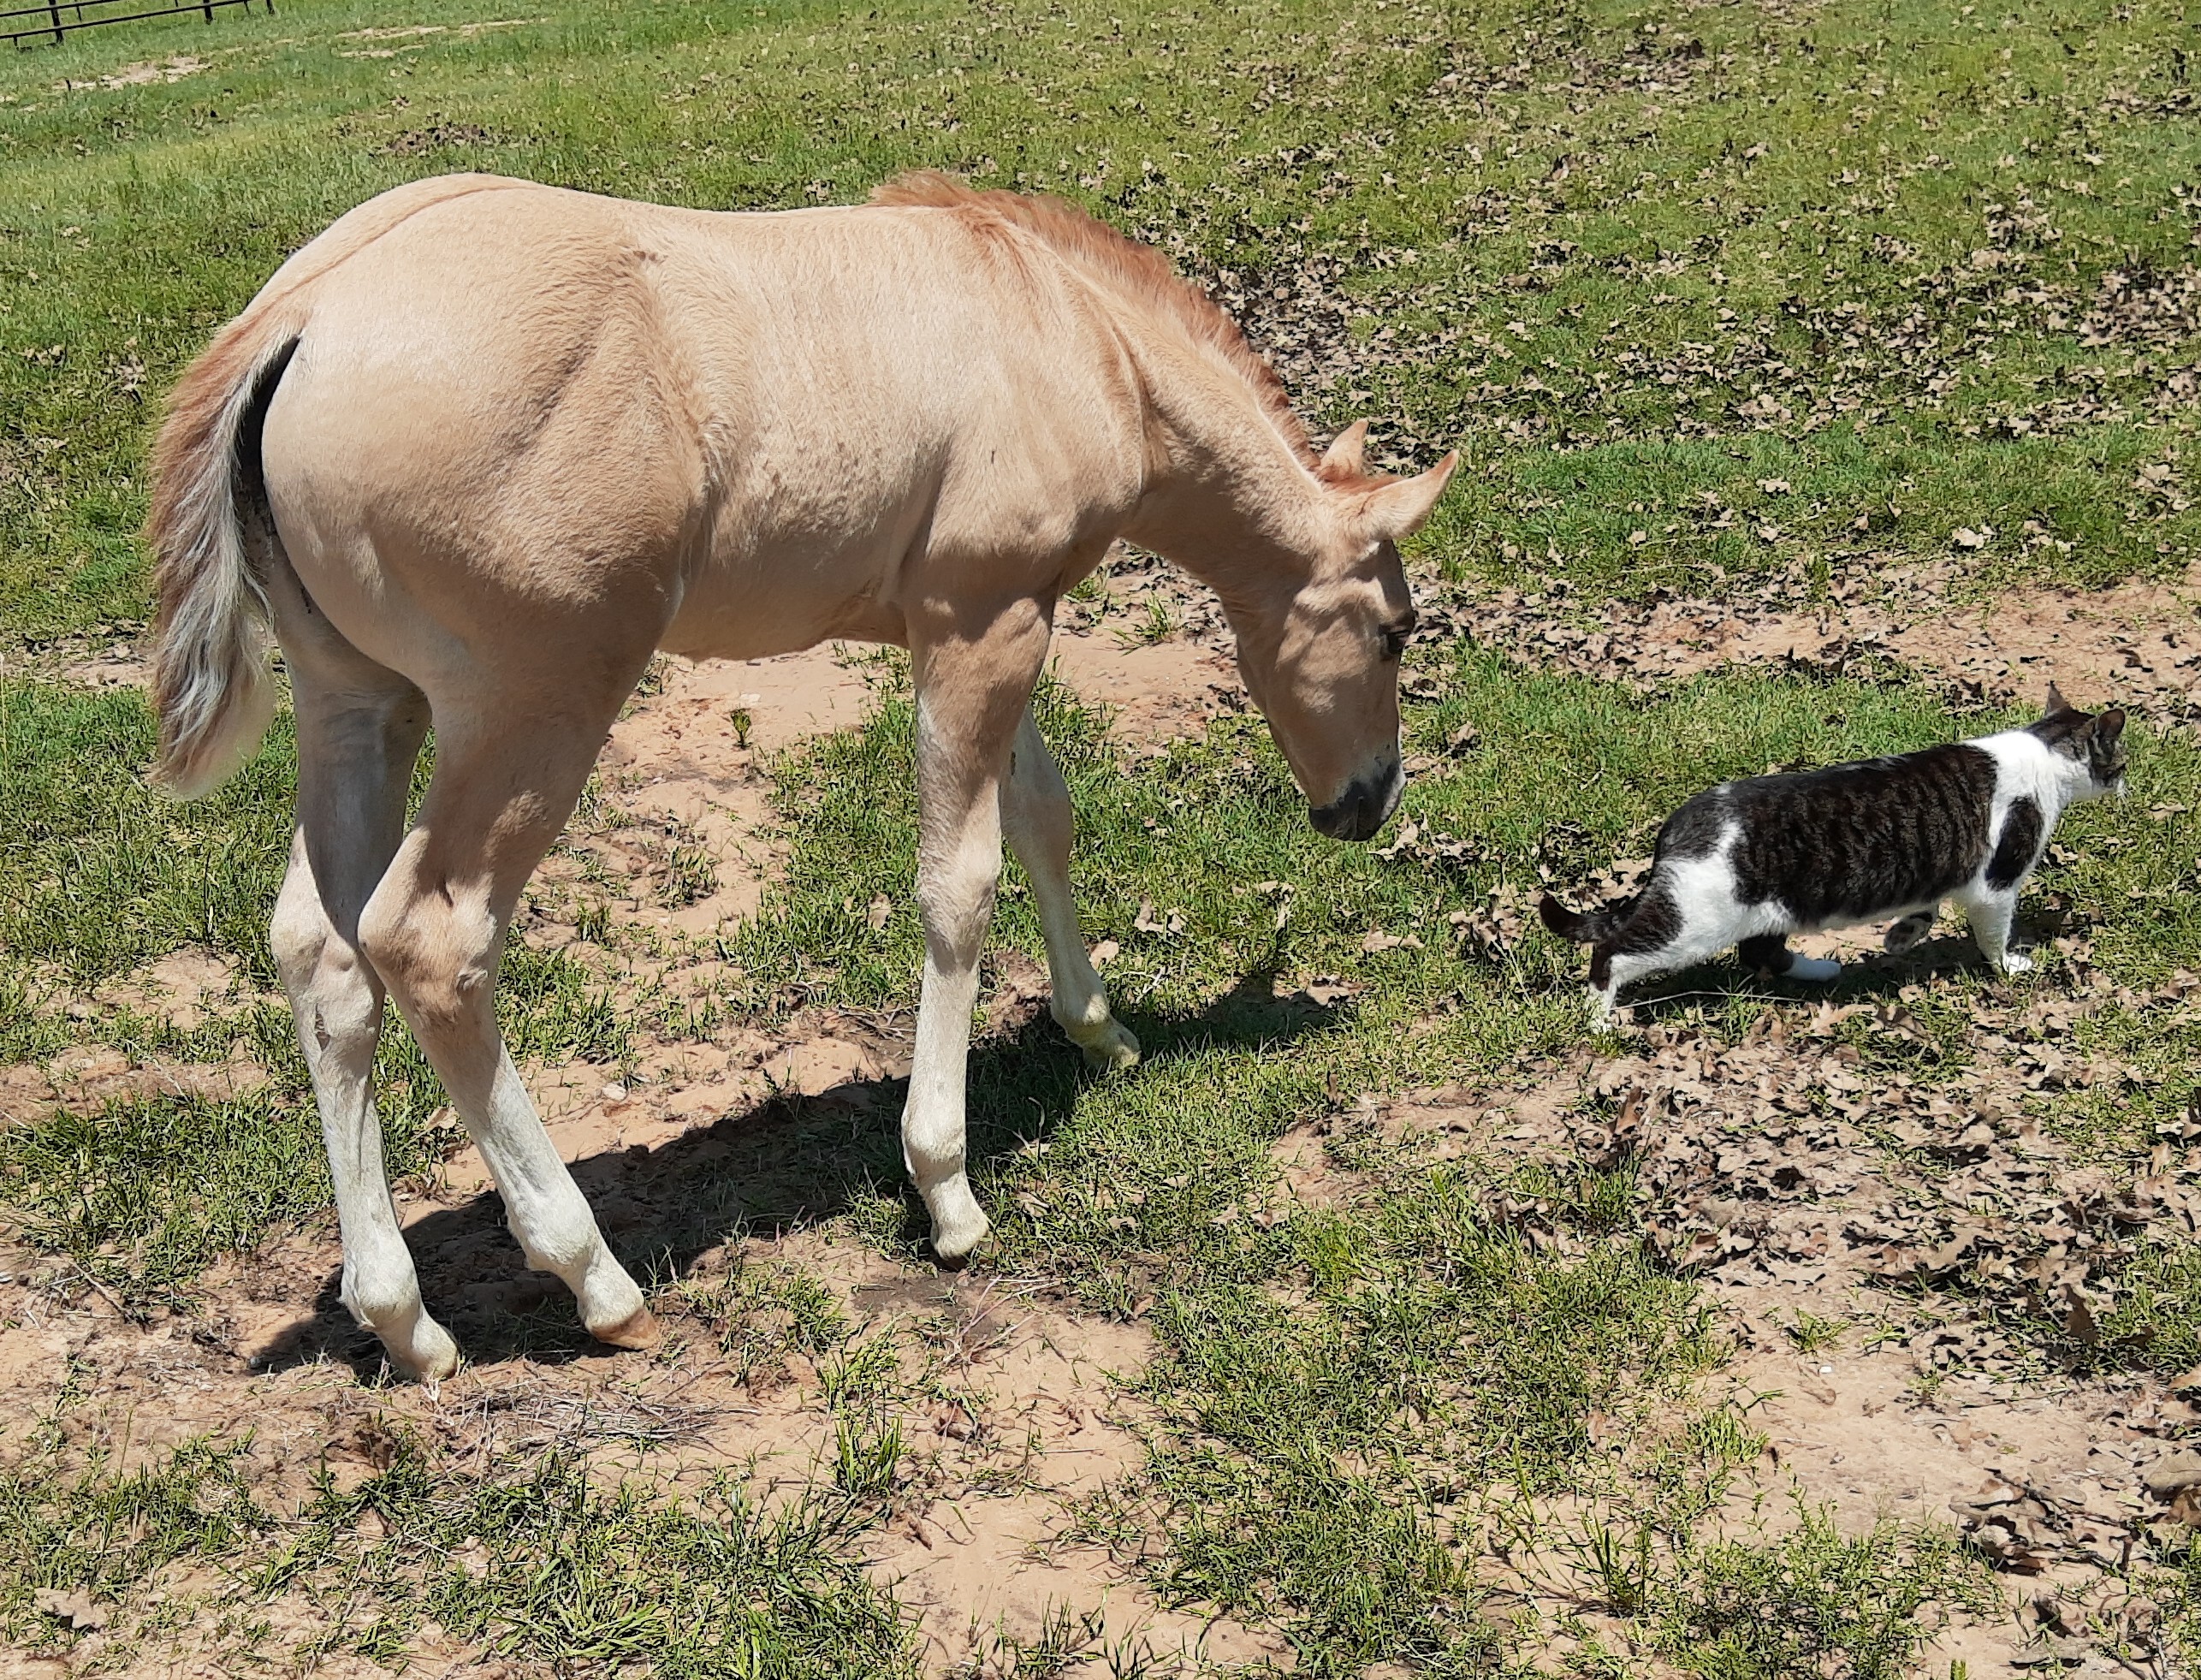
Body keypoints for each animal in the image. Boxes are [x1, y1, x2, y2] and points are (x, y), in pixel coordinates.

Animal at [155, 170, 1461, 1382]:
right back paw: (597, 1279)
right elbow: (960, 880)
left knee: (323, 955)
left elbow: (1043, 814)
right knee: (431, 938)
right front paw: (946, 1188)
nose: (1369, 801)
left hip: (357, 702)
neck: (1069, 330)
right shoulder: (982, 622)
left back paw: (404, 1320)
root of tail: (303, 314)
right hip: (535, 701)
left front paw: (1099, 1027)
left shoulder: (995, 618)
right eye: (1398, 631)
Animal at [1540, 682, 2121, 1025]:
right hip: (1694, 925)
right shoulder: (1996, 885)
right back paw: (1601, 1019)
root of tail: (1679, 825)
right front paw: (2010, 966)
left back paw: (1820, 971)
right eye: (2121, 761)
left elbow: (1925, 910)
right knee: (1613, 951)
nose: (2127, 784)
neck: (2045, 754)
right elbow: (1994, 939)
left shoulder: (1938, 870)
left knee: (1762, 954)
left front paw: (1900, 937)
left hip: (1768, 911)